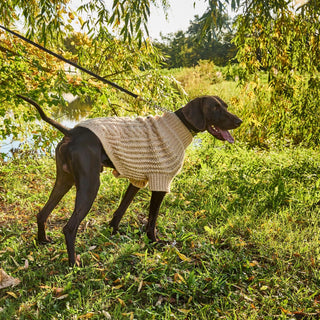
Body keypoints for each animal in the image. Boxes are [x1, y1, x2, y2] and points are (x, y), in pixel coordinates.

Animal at [17, 94, 241, 264]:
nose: (239, 121)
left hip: (65, 181)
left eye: (225, 106)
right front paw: (154, 241)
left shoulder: (137, 181)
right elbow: (152, 219)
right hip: (90, 186)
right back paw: (74, 263)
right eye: (215, 108)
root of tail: (72, 131)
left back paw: (43, 240)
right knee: (69, 228)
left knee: (42, 213)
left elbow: (121, 209)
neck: (180, 126)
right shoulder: (160, 181)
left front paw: (114, 231)